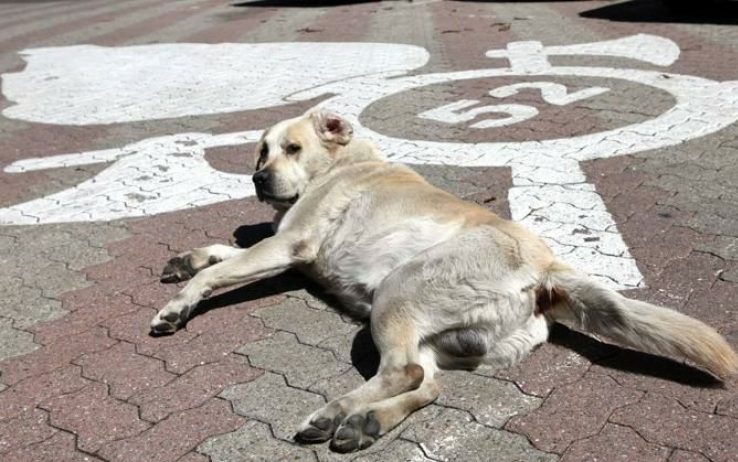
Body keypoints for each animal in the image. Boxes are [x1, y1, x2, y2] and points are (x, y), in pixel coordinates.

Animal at [150, 110, 736, 452]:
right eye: (261, 150)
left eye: (291, 149)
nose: (257, 178)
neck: (340, 166)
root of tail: (546, 271)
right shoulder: (284, 252)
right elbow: (221, 252)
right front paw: (185, 259)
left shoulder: (290, 248)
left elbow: (222, 269)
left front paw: (177, 306)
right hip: (437, 334)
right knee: (427, 384)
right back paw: (365, 424)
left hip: (397, 293)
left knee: (405, 372)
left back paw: (336, 412)